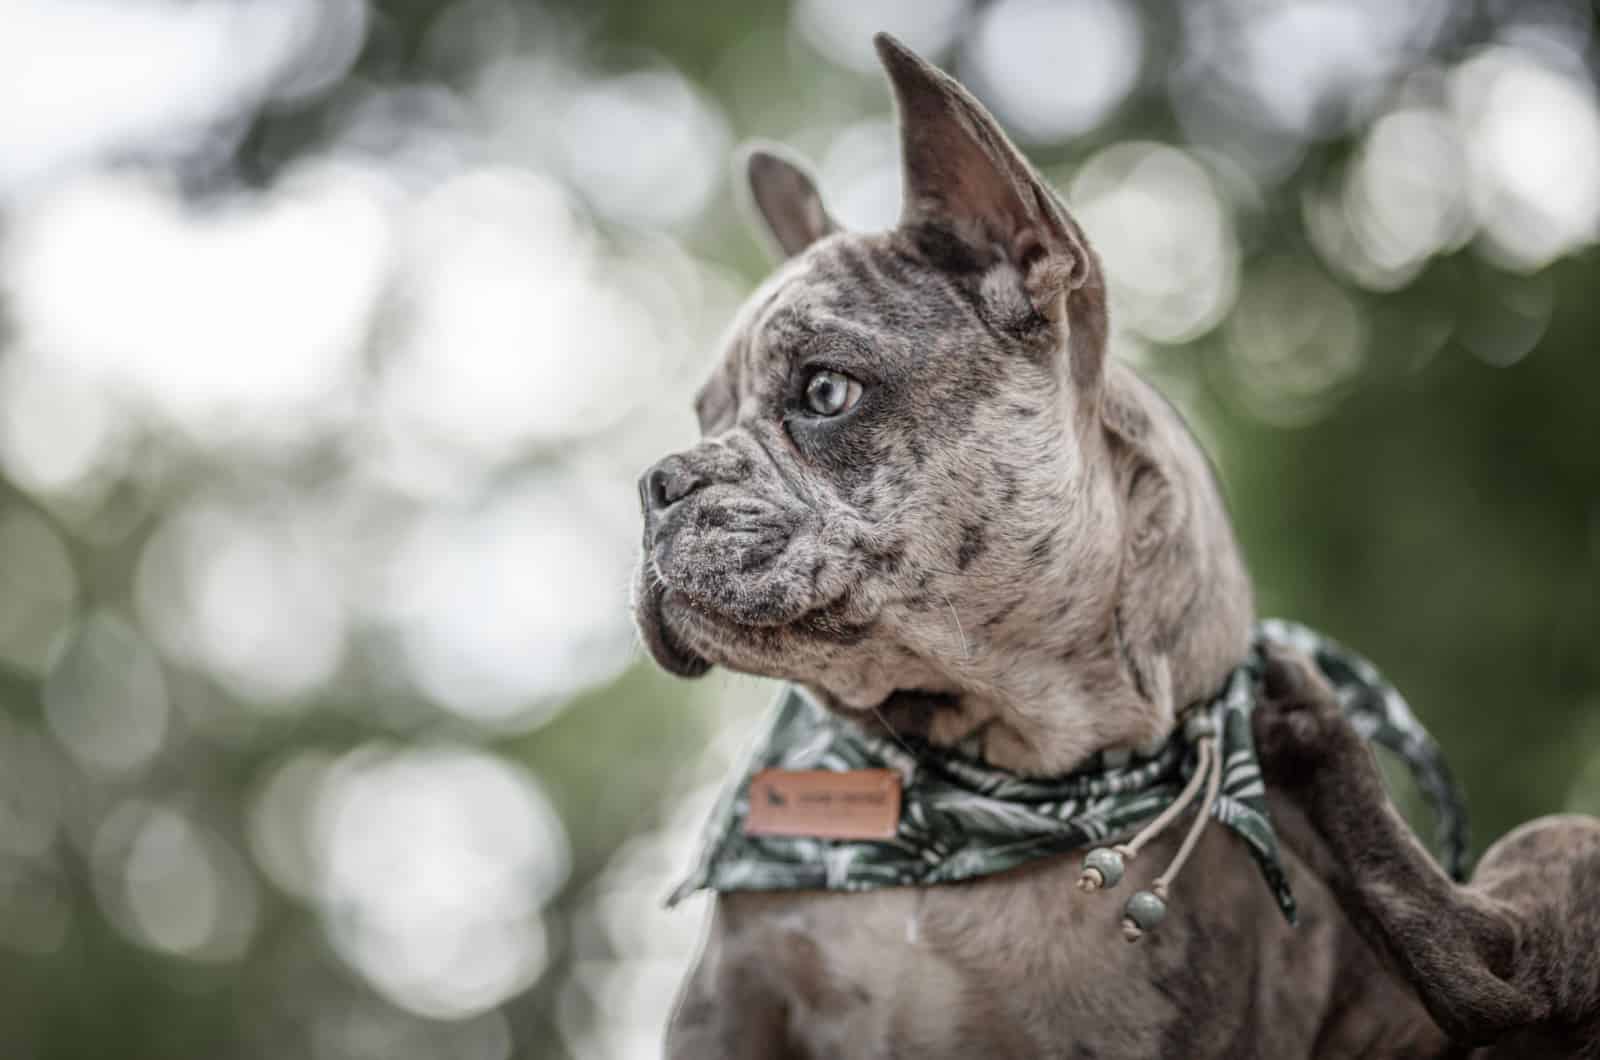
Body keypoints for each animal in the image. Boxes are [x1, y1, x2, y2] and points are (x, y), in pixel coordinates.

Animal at [630, 31, 1593, 1056]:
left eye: (824, 392)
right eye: (705, 416)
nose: (658, 483)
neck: (992, 773)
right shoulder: (726, 1009)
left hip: (1551, 848)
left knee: (1497, 967)